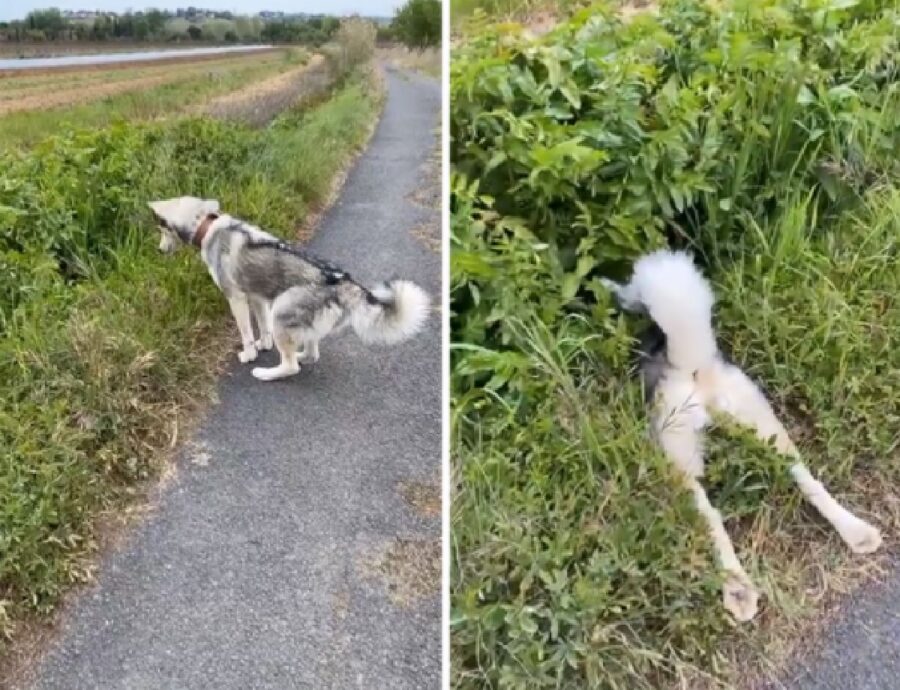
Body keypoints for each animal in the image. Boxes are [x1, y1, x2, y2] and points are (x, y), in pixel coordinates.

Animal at [149, 195, 430, 382]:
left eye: (162, 228)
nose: (159, 251)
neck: (207, 226)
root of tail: (342, 281)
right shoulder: (257, 297)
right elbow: (262, 328)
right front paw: (264, 344)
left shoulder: (236, 298)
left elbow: (246, 333)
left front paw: (250, 354)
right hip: (292, 315)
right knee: (311, 351)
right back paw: (302, 354)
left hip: (281, 310)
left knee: (291, 366)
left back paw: (265, 373)